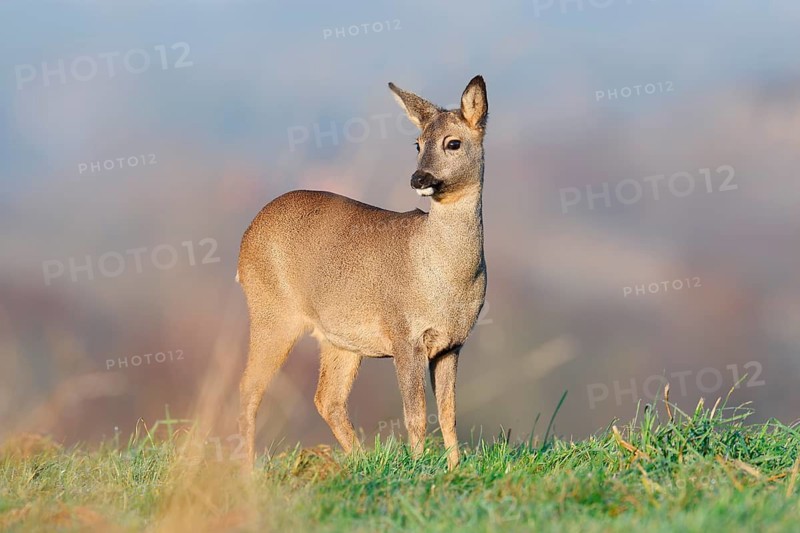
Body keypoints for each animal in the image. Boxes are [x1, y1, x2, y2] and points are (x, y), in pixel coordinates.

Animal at [236, 75, 488, 470]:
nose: (419, 178)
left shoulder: (453, 343)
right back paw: (248, 472)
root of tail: (246, 237)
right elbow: (415, 413)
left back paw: (357, 461)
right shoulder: (404, 333)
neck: (446, 276)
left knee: (327, 399)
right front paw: (418, 470)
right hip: (271, 312)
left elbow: (448, 413)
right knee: (249, 388)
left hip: (338, 338)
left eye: (453, 142)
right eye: (417, 144)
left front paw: (455, 469)